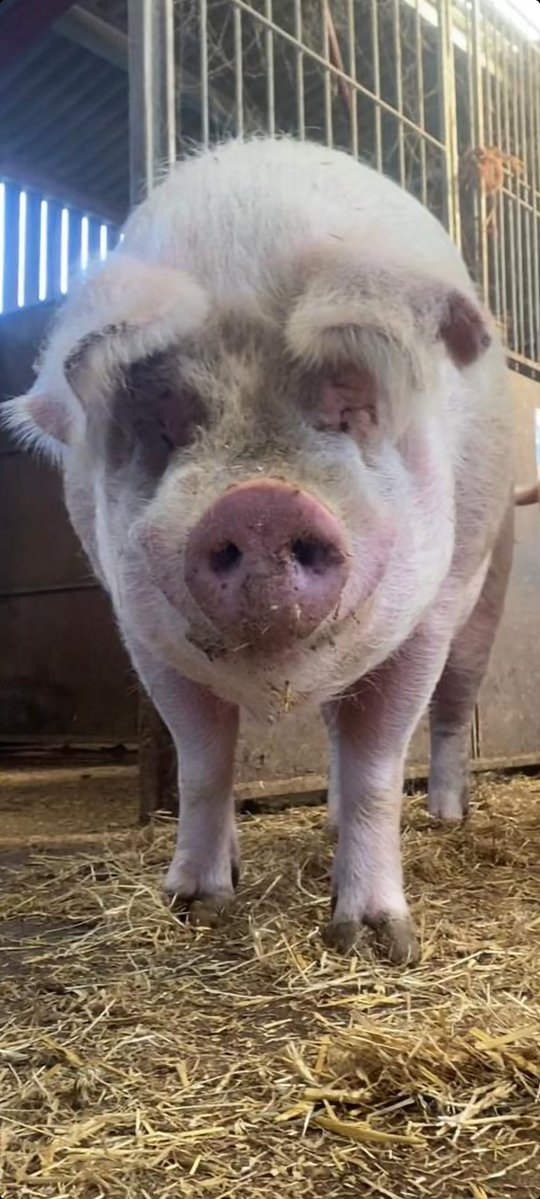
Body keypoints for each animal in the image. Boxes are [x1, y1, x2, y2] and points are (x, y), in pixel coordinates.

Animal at [2, 137, 514, 964]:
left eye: (349, 402)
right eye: (166, 421)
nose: (262, 503)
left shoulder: (428, 616)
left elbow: (377, 765)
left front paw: (377, 941)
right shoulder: (140, 630)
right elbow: (204, 762)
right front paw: (194, 905)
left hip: (486, 584)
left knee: (444, 712)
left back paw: (443, 817)